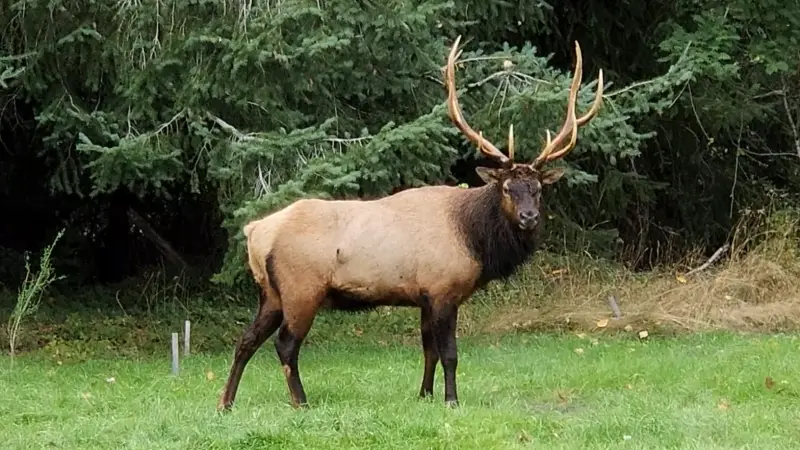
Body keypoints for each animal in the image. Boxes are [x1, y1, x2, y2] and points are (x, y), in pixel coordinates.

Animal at [217, 35, 603, 411]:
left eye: (537, 189)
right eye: (507, 188)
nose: (528, 217)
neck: (474, 240)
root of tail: (255, 233)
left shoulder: (424, 296)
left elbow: (428, 350)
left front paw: (425, 395)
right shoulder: (443, 289)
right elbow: (450, 353)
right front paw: (451, 400)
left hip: (271, 293)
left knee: (245, 340)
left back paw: (226, 402)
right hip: (301, 288)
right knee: (285, 344)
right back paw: (300, 402)